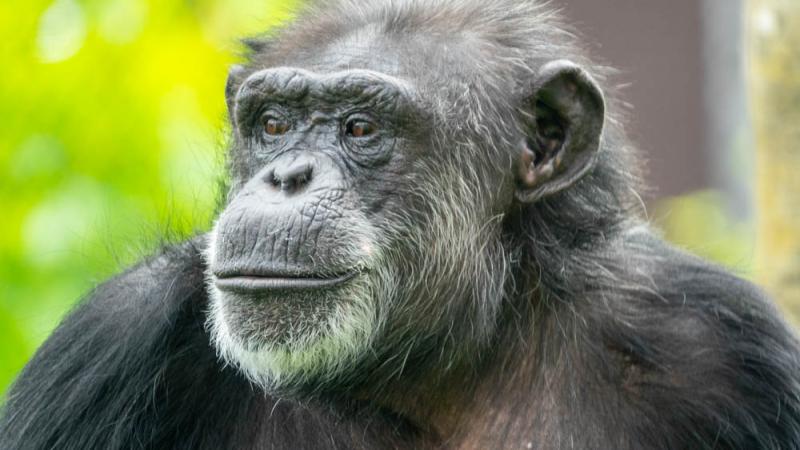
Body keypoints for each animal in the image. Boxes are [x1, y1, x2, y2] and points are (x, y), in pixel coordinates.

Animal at [1, 0, 800, 450]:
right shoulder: (107, 345)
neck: (430, 371)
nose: (286, 177)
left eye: (361, 128)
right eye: (273, 124)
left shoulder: (731, 349)